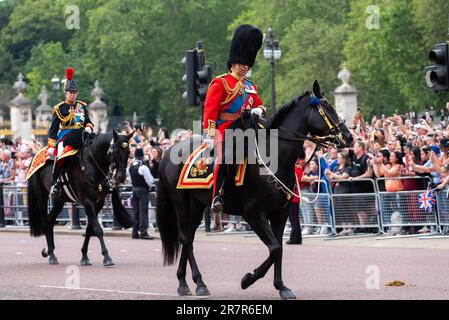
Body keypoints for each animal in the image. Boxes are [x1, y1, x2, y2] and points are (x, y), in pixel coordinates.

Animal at [26, 130, 133, 268]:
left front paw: (84, 257)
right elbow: (98, 229)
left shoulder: (98, 203)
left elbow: (89, 229)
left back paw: (50, 251)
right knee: (45, 221)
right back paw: (52, 255)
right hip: (41, 195)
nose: (121, 177)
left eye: (129, 152)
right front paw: (106, 257)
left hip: (59, 199)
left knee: (50, 220)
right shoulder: (87, 202)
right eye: (115, 151)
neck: (92, 164)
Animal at [158, 80, 354, 300]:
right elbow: (275, 249)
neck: (274, 159)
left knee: (189, 237)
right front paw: (248, 279)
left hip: (197, 204)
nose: (349, 137)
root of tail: (169, 151)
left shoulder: (280, 213)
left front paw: (281, 287)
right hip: (180, 201)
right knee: (185, 237)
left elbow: (278, 249)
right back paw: (193, 283)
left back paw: (189, 282)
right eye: (327, 108)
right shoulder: (253, 213)